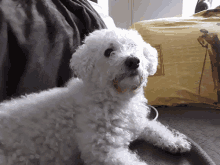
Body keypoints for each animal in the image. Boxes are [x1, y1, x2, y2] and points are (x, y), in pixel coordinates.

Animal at [0, 27, 191, 164]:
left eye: (134, 47)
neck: (116, 100)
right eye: (108, 51)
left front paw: (175, 141)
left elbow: (155, 128)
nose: (133, 61)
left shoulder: (137, 123)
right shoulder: (102, 152)